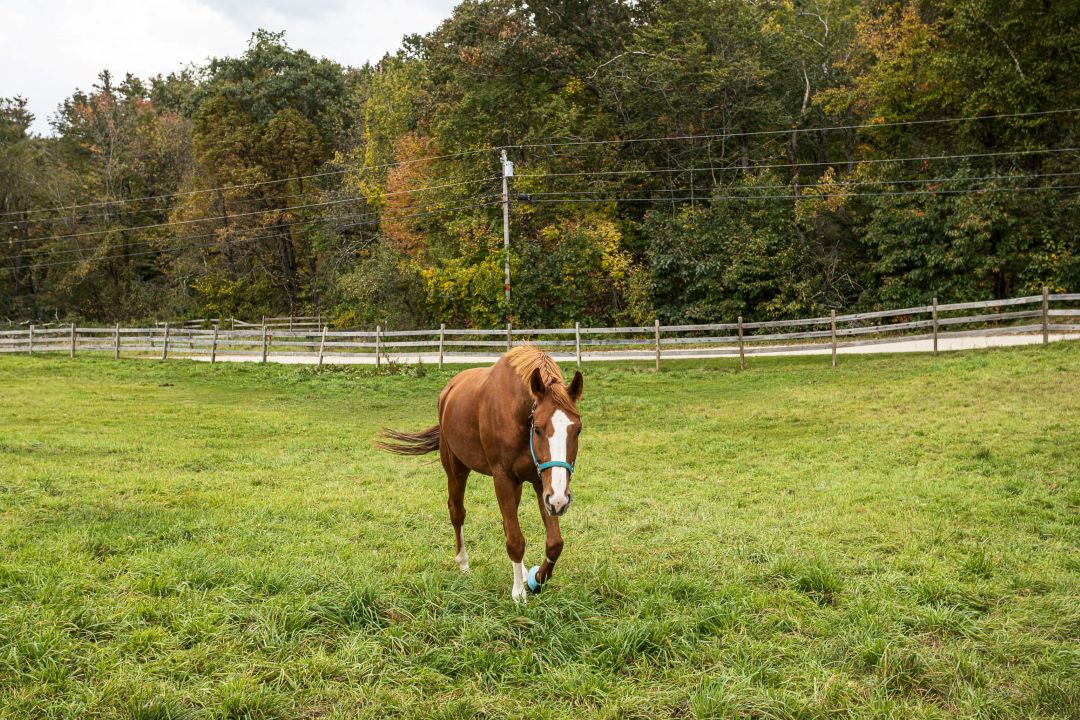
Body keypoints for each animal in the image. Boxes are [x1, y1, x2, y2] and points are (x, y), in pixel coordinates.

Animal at [376, 345, 583, 603]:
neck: (516, 413)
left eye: (578, 429)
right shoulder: (504, 478)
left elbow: (554, 542)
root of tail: (448, 390)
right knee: (457, 513)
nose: (560, 501)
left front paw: (536, 579)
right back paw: (463, 563)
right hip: (456, 470)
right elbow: (515, 540)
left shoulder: (542, 482)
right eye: (537, 429)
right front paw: (518, 593)